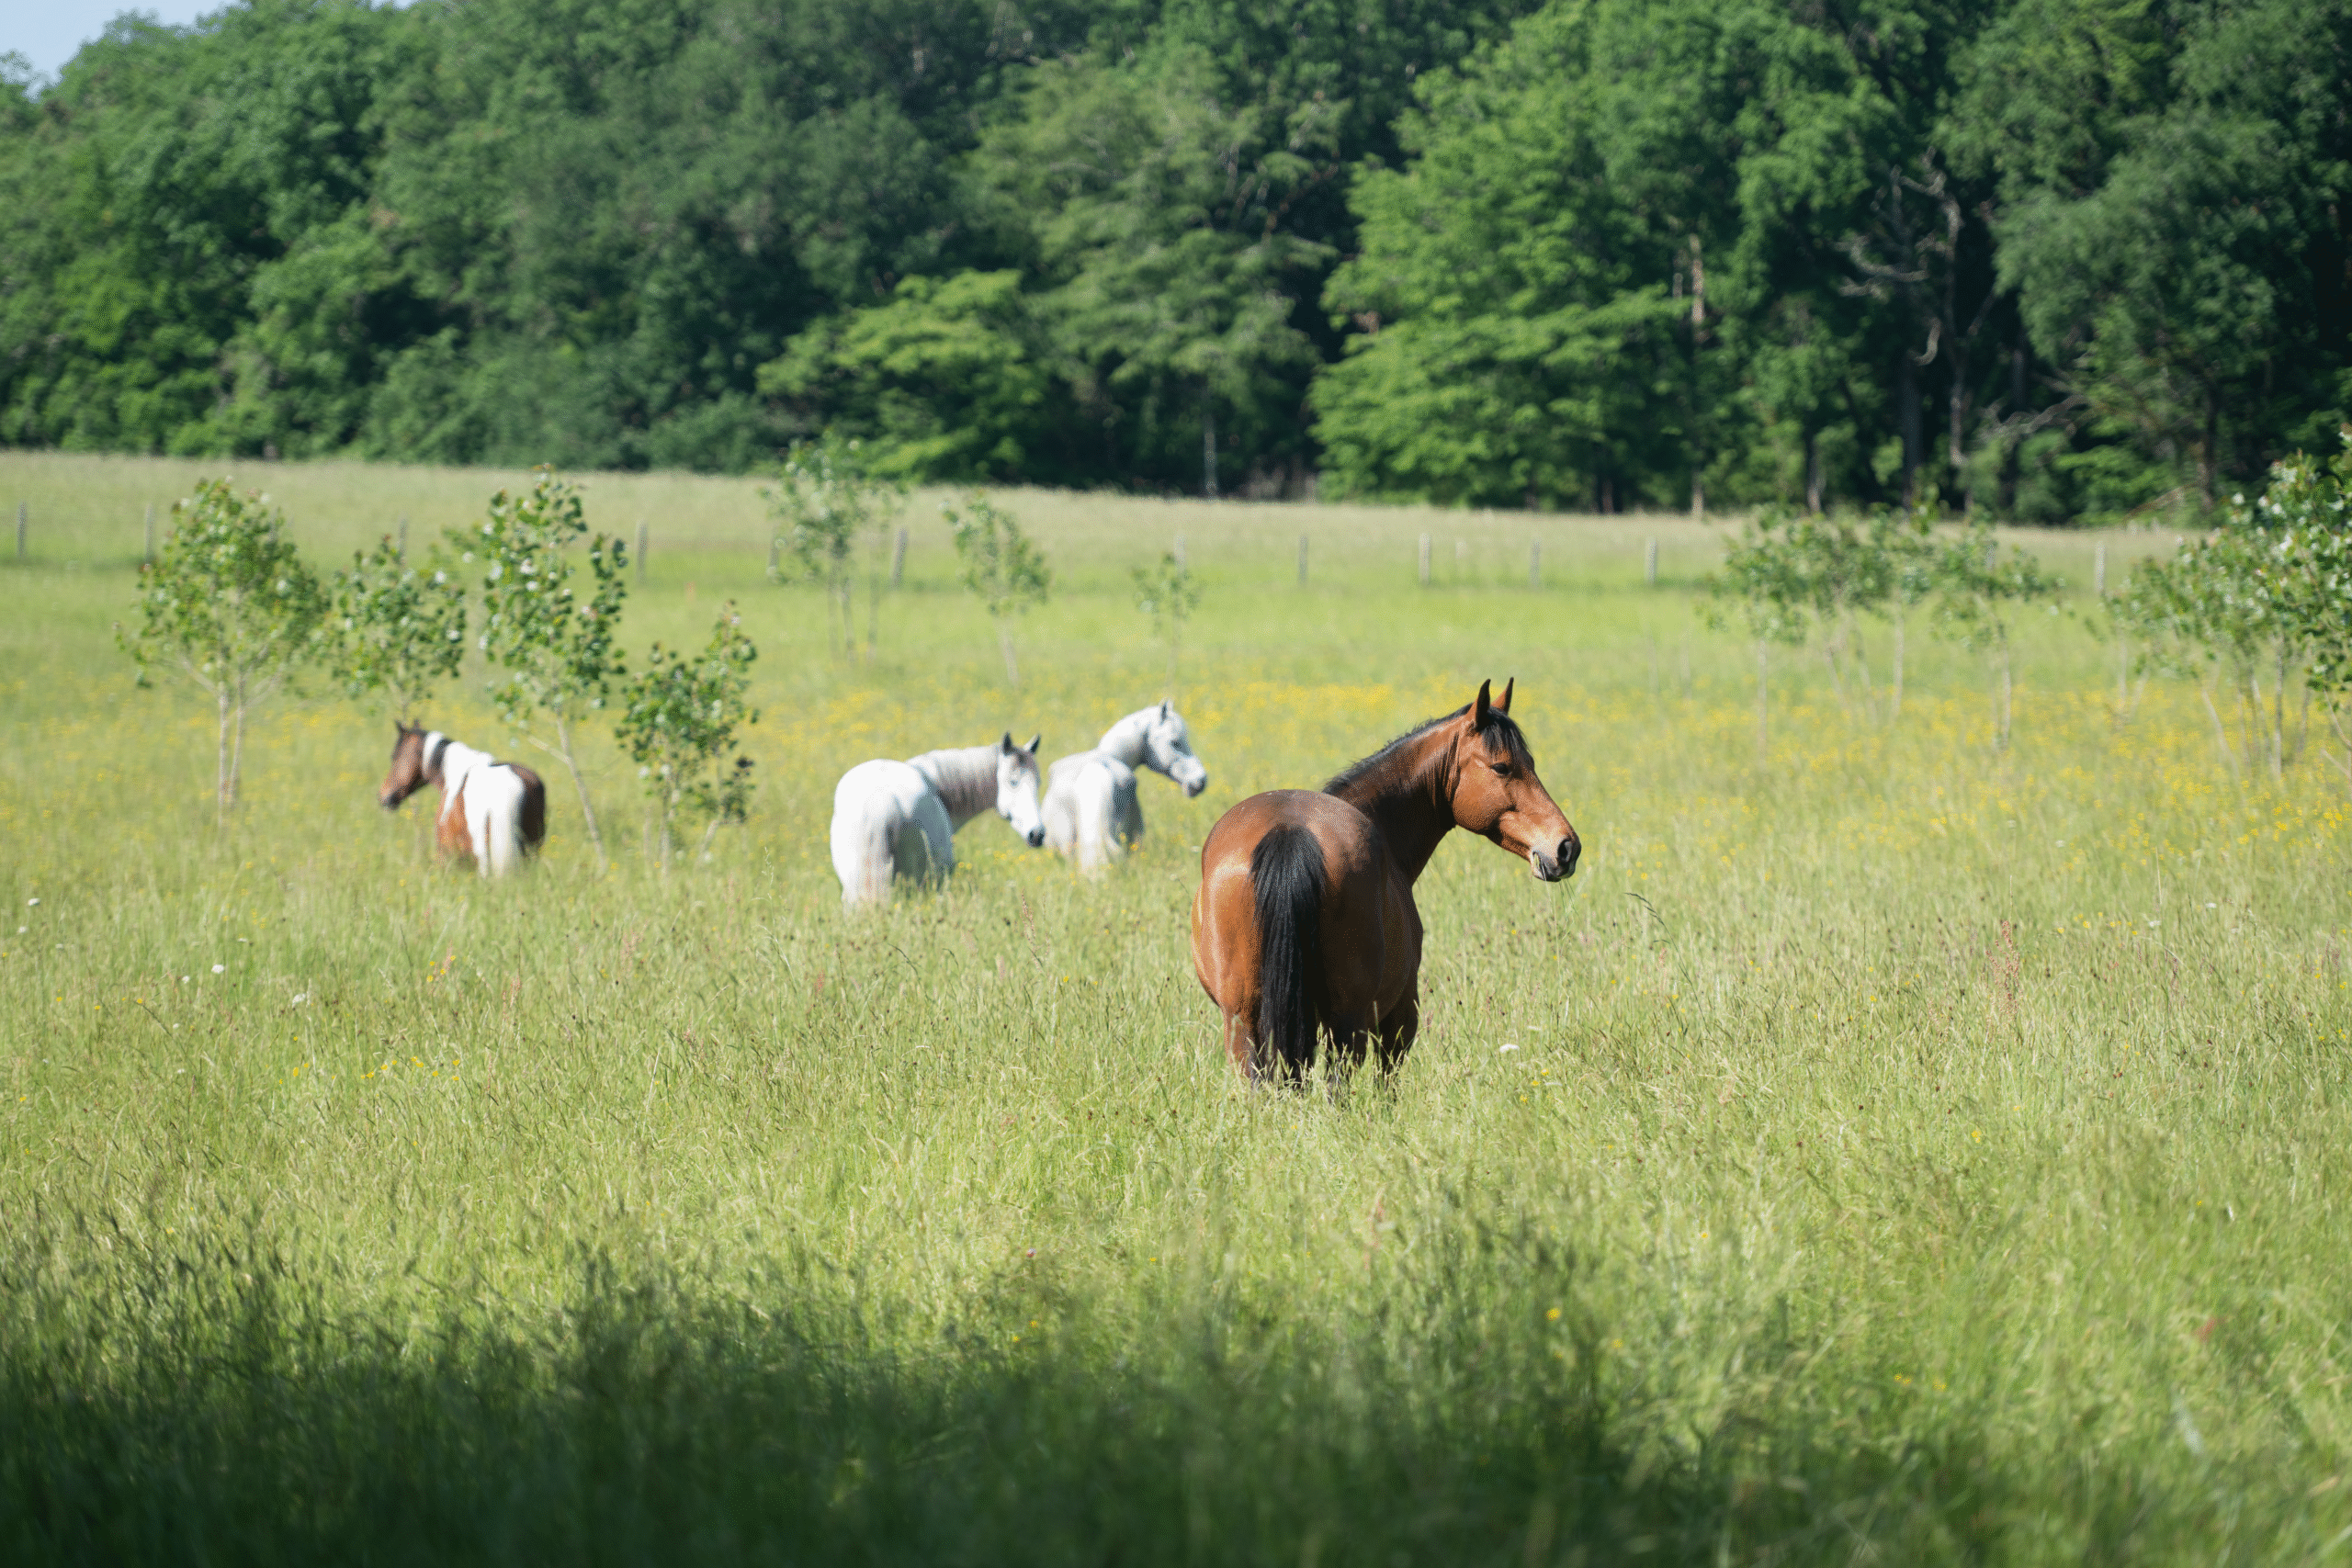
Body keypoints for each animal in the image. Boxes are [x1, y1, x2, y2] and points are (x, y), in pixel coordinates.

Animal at [1190, 680, 1578, 1082]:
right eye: (1502, 766)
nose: (1567, 847)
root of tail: (1288, 832)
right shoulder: (1400, 1014)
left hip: (1247, 1025)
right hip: (1347, 1024)